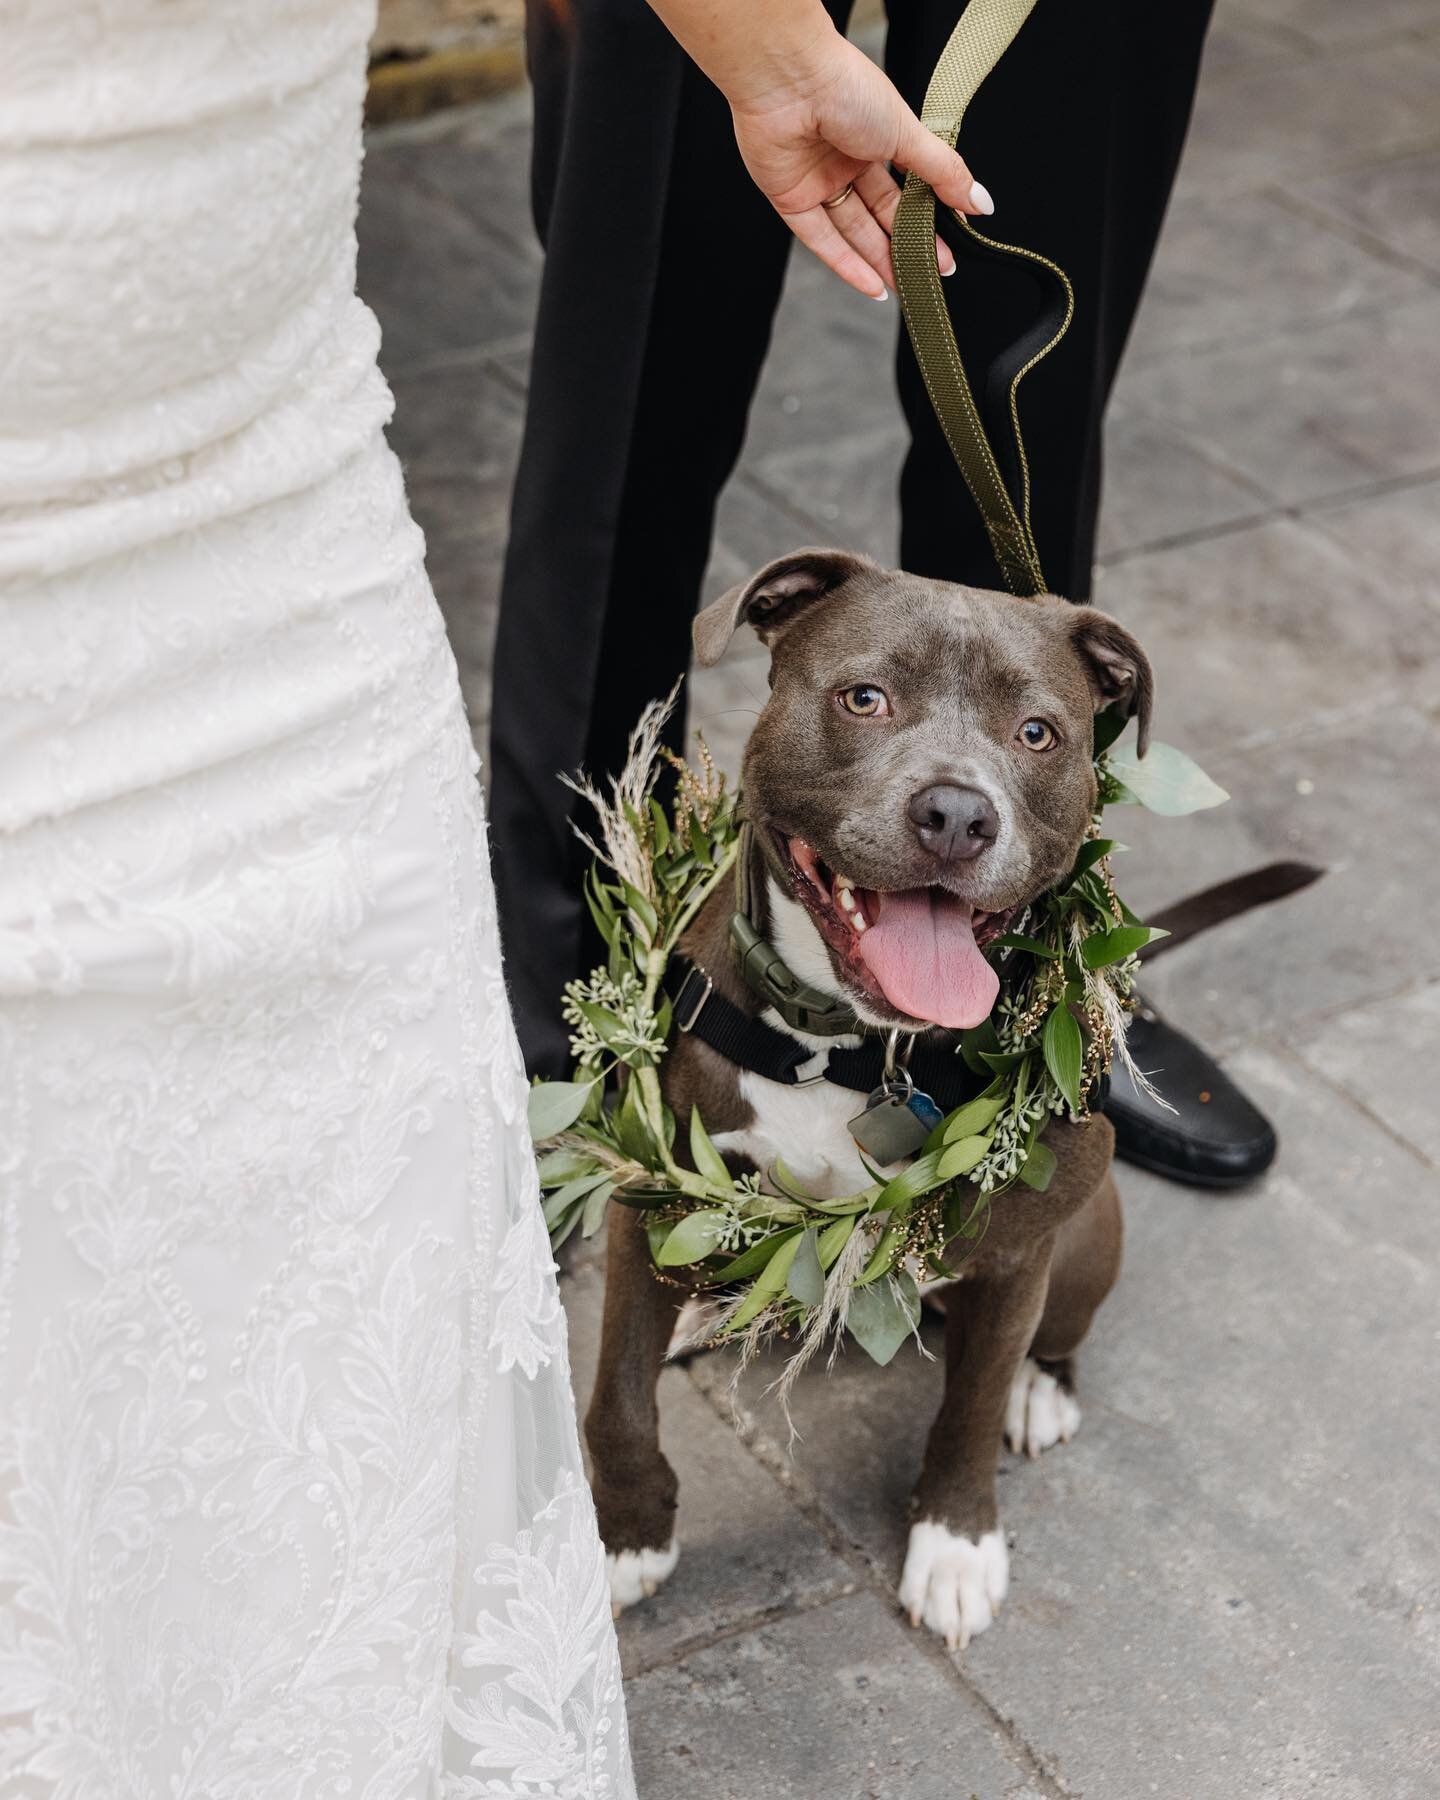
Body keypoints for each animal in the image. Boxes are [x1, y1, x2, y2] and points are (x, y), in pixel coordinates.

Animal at [583, 543, 1144, 1648]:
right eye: (865, 698)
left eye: (1038, 733)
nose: (959, 815)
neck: (853, 1046)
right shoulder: (650, 1179)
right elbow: (615, 1397)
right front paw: (627, 1539)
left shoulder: (1017, 1246)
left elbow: (968, 1407)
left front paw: (956, 1548)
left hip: (1091, 1218)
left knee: (1050, 1340)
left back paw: (1042, 1393)